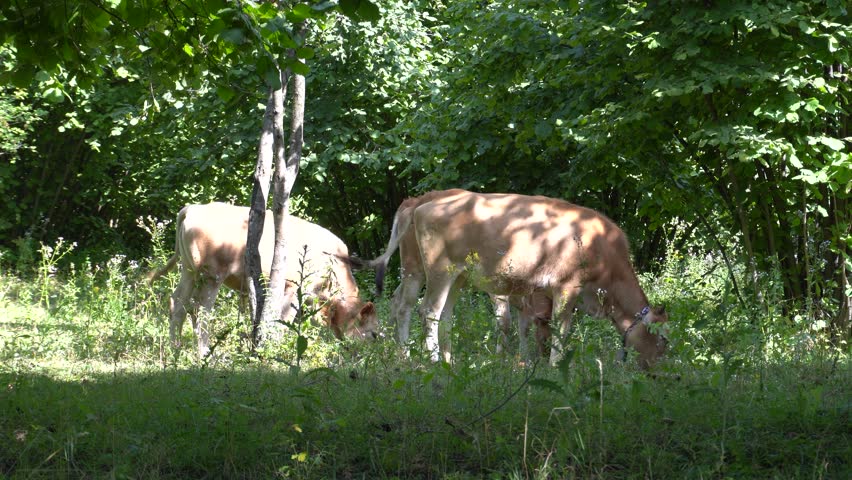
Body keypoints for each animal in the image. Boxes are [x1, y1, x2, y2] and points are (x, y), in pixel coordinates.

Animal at [146, 202, 379, 357]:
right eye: (373, 333)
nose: (374, 353)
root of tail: (192, 209)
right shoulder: (295, 287)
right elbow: (284, 318)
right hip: (211, 275)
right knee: (200, 310)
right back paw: (205, 353)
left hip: (189, 271)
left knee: (178, 305)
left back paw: (174, 349)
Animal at [365, 190, 668, 368]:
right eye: (663, 338)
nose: (659, 371)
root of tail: (420, 203)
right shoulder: (565, 287)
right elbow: (559, 329)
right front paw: (554, 365)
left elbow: (530, 327)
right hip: (437, 271)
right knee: (426, 310)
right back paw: (432, 361)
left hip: (452, 276)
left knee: (435, 313)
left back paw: (445, 361)